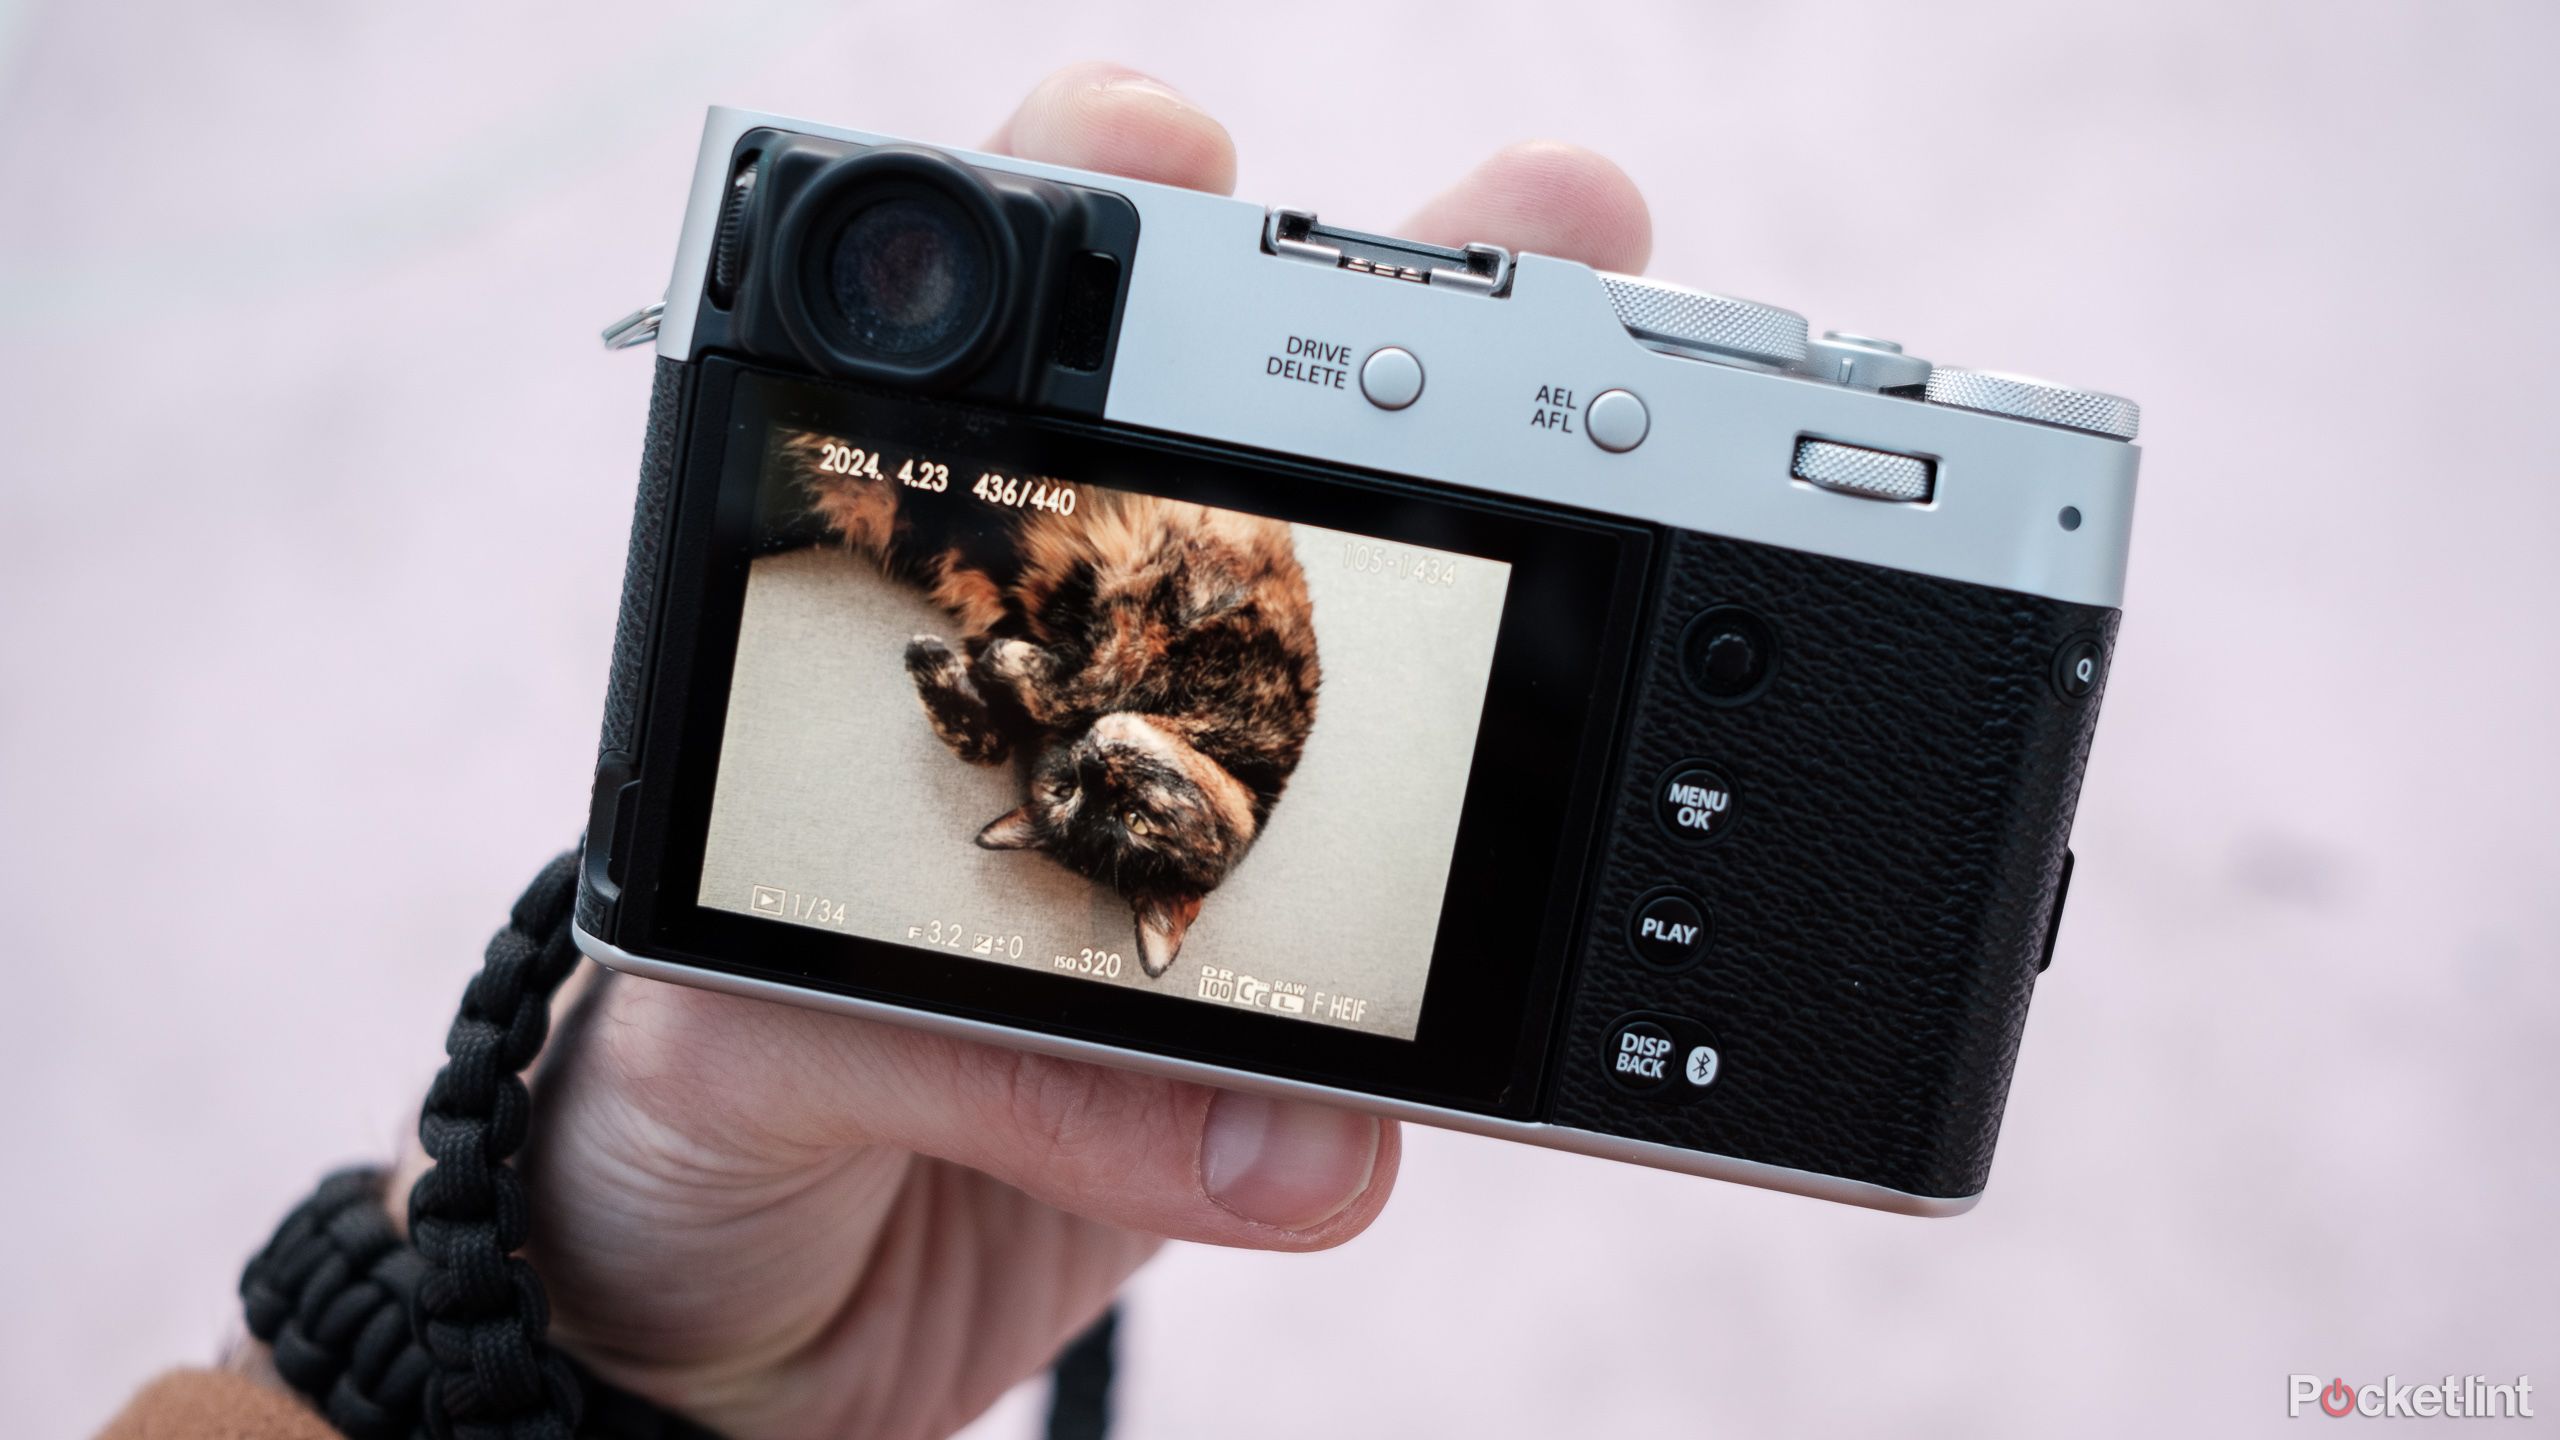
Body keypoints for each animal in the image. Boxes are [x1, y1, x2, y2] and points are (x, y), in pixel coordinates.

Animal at [788, 435, 1320, 973]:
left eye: (1132, 820)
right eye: (1069, 791)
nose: (1092, 759)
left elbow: (1005, 733)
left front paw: (951, 659)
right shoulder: (1191, 601)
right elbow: (1102, 676)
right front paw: (989, 658)